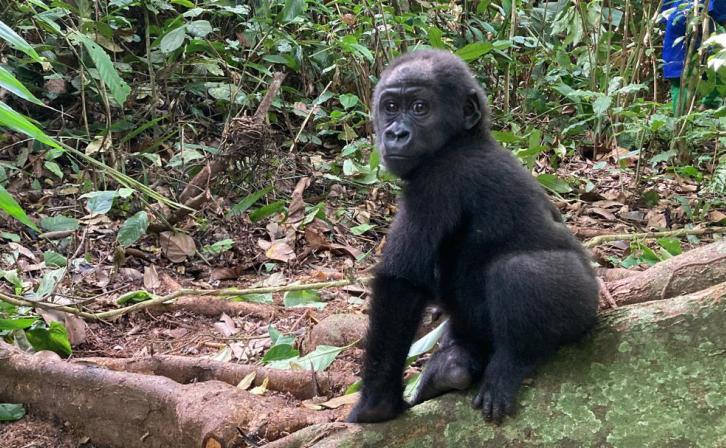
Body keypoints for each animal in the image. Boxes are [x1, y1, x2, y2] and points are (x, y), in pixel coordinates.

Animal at [347, 50, 599, 424]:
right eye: (390, 107)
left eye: (420, 107)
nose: (396, 133)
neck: (465, 138)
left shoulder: (437, 180)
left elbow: (402, 283)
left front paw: (376, 405)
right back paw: (453, 367)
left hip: (584, 305)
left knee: (518, 271)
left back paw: (511, 363)